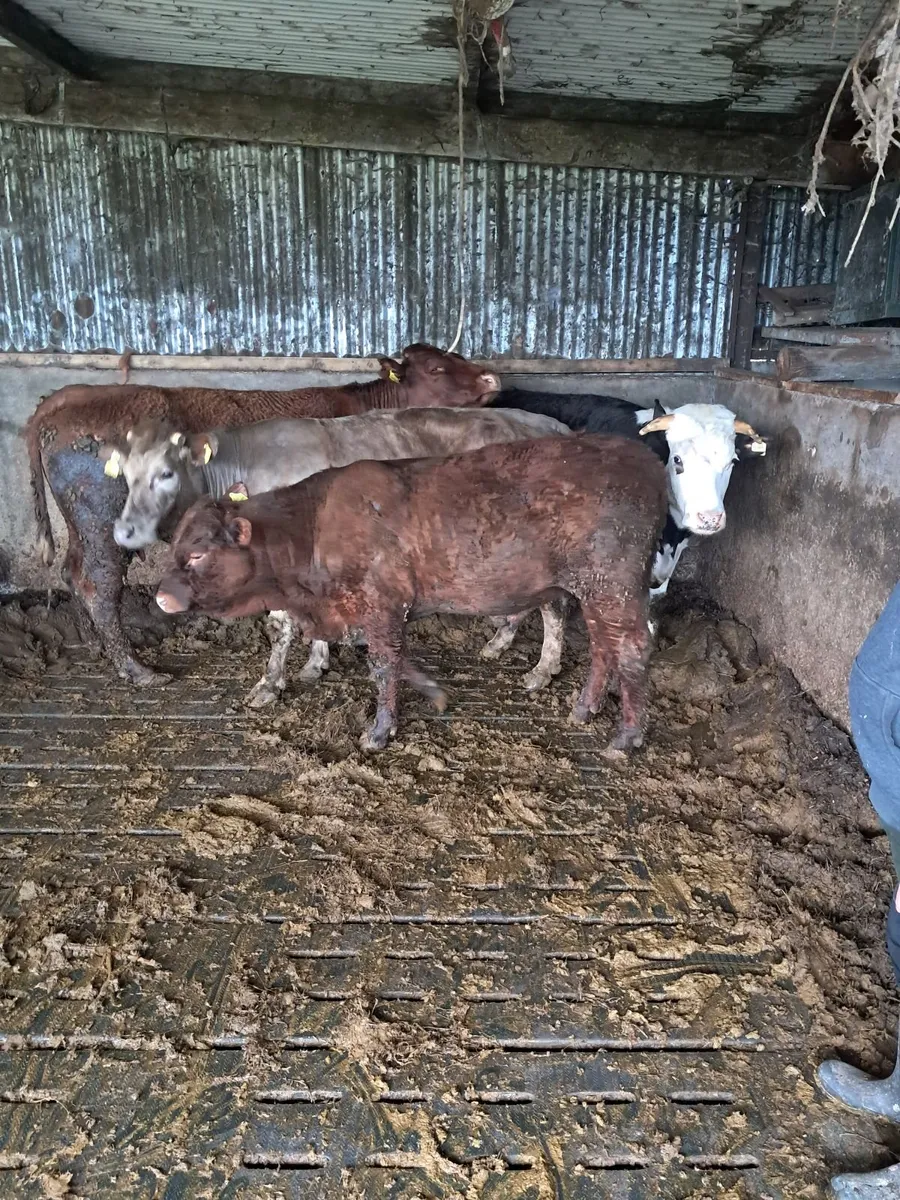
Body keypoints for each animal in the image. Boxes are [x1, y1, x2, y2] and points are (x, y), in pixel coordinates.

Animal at [24, 344, 500, 687]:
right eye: (436, 368)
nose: (492, 376)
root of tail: (67, 396)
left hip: (81, 529)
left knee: (72, 574)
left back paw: (98, 647)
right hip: (103, 527)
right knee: (98, 585)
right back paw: (136, 669)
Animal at [103, 405, 571, 706]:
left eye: (166, 472)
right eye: (124, 472)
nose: (124, 531)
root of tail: (551, 425)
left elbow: (280, 626)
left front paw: (269, 685)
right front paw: (316, 663)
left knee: (555, 604)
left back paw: (542, 670)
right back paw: (500, 642)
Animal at [154, 435, 668, 753]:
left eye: (197, 554)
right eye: (175, 543)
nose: (160, 597)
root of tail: (641, 458)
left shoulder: (382, 604)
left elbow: (383, 665)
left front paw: (381, 730)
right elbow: (390, 658)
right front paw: (434, 692)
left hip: (614, 587)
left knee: (632, 647)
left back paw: (626, 737)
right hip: (595, 591)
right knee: (603, 646)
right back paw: (584, 708)